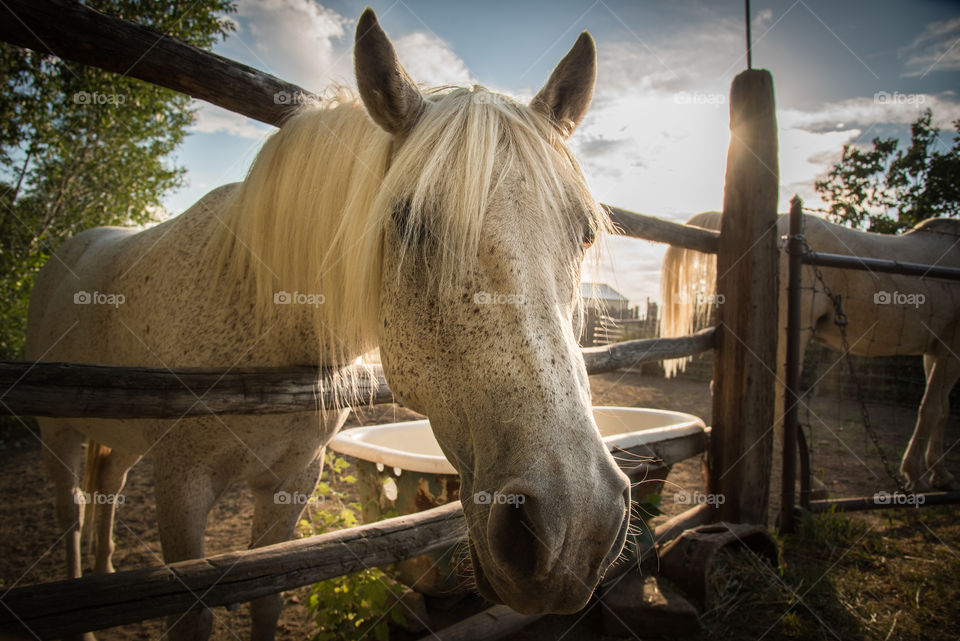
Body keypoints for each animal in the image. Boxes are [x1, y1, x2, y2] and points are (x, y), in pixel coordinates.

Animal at [26, 11, 632, 640]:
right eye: (409, 222)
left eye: (585, 233)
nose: (575, 527)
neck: (264, 320)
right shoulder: (181, 485)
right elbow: (190, 617)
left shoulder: (293, 480)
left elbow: (266, 597)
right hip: (57, 430)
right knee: (71, 513)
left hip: (118, 439)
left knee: (106, 491)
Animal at [664, 210, 960, 490]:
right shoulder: (951, 347)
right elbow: (932, 407)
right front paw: (916, 475)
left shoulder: (934, 351)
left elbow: (943, 408)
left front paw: (940, 474)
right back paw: (809, 482)